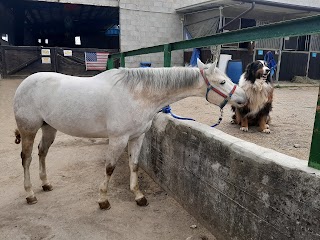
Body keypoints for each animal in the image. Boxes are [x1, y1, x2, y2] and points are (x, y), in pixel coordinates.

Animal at [13, 59, 246, 209]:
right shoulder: (118, 139)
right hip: (29, 130)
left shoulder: (137, 137)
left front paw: (139, 196)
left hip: (49, 127)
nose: (243, 98)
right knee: (27, 159)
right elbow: (109, 168)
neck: (137, 94)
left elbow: (134, 164)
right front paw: (103, 200)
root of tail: (25, 83)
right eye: (222, 82)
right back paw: (30, 194)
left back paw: (45, 184)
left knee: (42, 153)